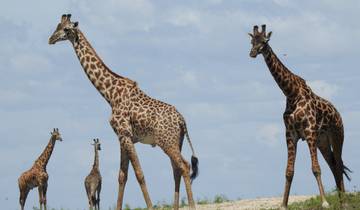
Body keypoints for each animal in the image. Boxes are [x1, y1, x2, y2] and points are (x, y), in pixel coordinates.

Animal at [47, 13, 198, 209]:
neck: (110, 95)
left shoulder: (125, 134)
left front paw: (150, 206)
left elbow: (139, 174)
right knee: (176, 169)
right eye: (57, 26)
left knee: (184, 165)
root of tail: (182, 121)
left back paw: (192, 205)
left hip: (167, 142)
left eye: (66, 29)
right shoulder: (122, 137)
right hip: (174, 142)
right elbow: (122, 176)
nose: (51, 39)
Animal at [249, 25, 350, 209]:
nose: (252, 53)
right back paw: (340, 200)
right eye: (252, 41)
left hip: (338, 135)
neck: (291, 93)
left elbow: (315, 168)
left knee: (338, 163)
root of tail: (338, 114)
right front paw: (283, 204)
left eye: (264, 41)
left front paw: (325, 202)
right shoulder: (290, 133)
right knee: (333, 165)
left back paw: (344, 202)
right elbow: (289, 171)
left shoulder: (309, 131)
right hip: (322, 141)